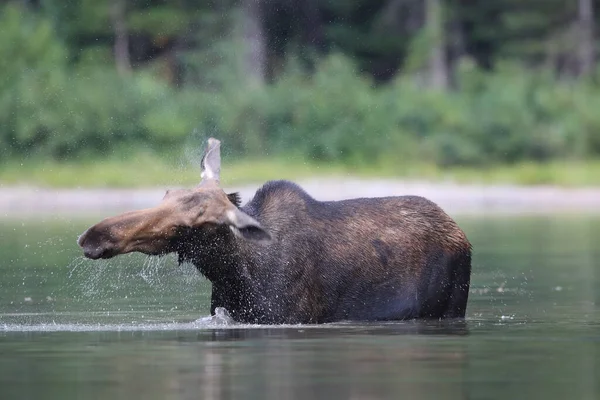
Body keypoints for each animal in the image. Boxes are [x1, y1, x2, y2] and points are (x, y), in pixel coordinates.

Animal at [78, 139, 474, 324]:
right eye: (166, 194)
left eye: (188, 226)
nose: (93, 237)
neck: (233, 273)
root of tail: (461, 233)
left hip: (452, 305)